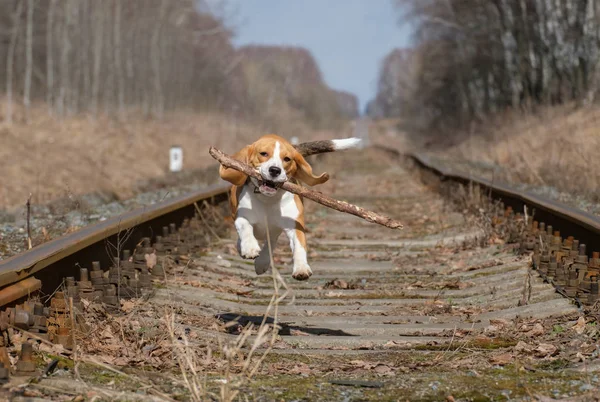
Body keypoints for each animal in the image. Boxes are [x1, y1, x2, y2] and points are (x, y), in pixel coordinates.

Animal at [220, 135, 360, 280]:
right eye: (263, 154)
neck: (268, 199)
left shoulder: (295, 226)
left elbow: (299, 247)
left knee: (271, 242)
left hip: (274, 229)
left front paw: (301, 268)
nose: (275, 170)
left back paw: (262, 262)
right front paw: (249, 248)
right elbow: (246, 229)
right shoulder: (242, 217)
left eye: (287, 159)